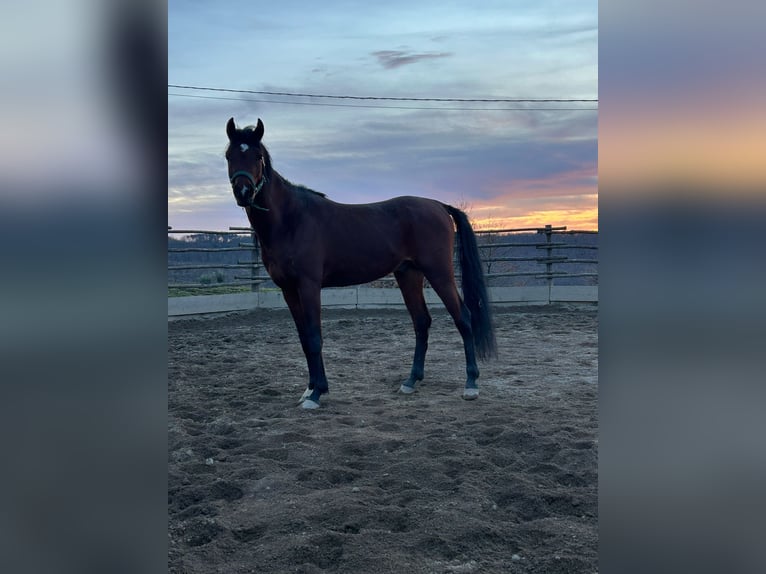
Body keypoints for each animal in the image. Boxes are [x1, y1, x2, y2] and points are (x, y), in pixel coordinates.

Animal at [225, 117, 496, 409]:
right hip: (409, 275)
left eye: (258, 156)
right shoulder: (288, 289)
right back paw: (411, 381)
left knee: (464, 318)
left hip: (439, 273)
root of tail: (438, 205)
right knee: (421, 322)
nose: (243, 192)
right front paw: (309, 390)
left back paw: (471, 384)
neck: (291, 220)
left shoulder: (309, 286)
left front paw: (317, 394)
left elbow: (314, 337)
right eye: (229, 155)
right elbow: (304, 339)